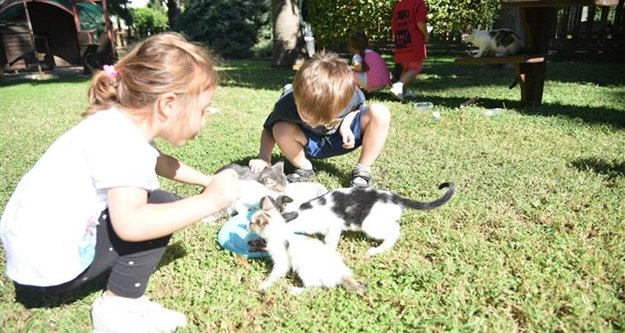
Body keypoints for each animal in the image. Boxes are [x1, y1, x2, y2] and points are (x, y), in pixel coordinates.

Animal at [280, 183, 456, 255]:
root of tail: (397, 199)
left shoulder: (334, 227)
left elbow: (329, 242)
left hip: (370, 224)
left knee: (395, 231)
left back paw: (377, 251)